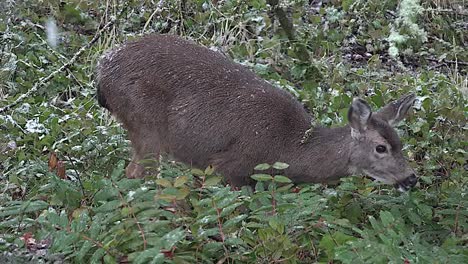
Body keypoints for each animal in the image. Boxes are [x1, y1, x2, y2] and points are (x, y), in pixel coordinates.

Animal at [97, 35, 418, 191]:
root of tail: (102, 71)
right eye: (380, 147)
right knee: (138, 174)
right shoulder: (228, 165)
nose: (411, 178)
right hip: (146, 125)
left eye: (401, 143)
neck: (288, 148)